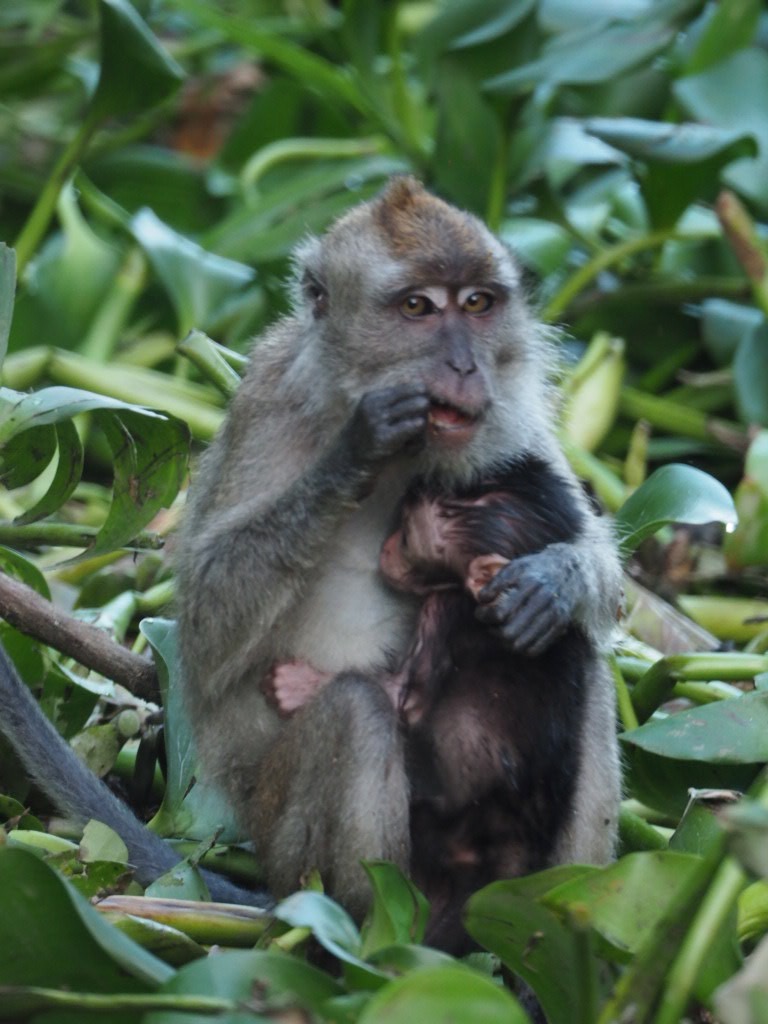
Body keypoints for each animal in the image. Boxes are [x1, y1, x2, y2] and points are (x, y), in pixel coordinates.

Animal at [0, 178, 621, 949]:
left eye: (477, 303)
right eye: (418, 308)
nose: (465, 366)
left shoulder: (510, 421)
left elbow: (597, 565)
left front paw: (555, 580)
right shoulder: (265, 404)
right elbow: (207, 621)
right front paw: (356, 447)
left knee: (582, 658)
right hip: (286, 840)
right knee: (354, 713)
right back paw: (367, 933)